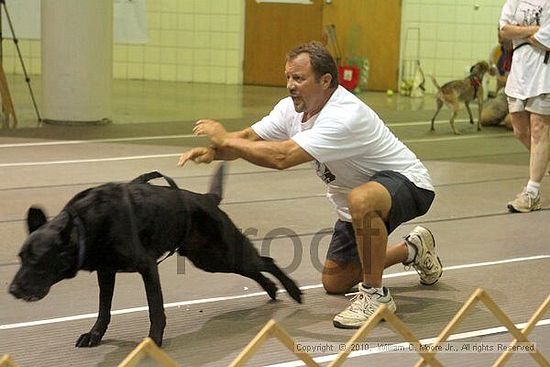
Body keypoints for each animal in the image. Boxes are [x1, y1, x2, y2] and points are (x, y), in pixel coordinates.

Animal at [7, 166, 302, 348]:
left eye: (38, 261)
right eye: (21, 258)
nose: (12, 290)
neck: (87, 226)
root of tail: (207, 198)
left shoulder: (147, 268)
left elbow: (155, 309)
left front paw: (153, 342)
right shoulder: (106, 273)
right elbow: (104, 310)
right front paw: (95, 335)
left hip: (225, 254)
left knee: (266, 262)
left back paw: (293, 290)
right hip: (211, 259)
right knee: (256, 269)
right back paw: (272, 290)